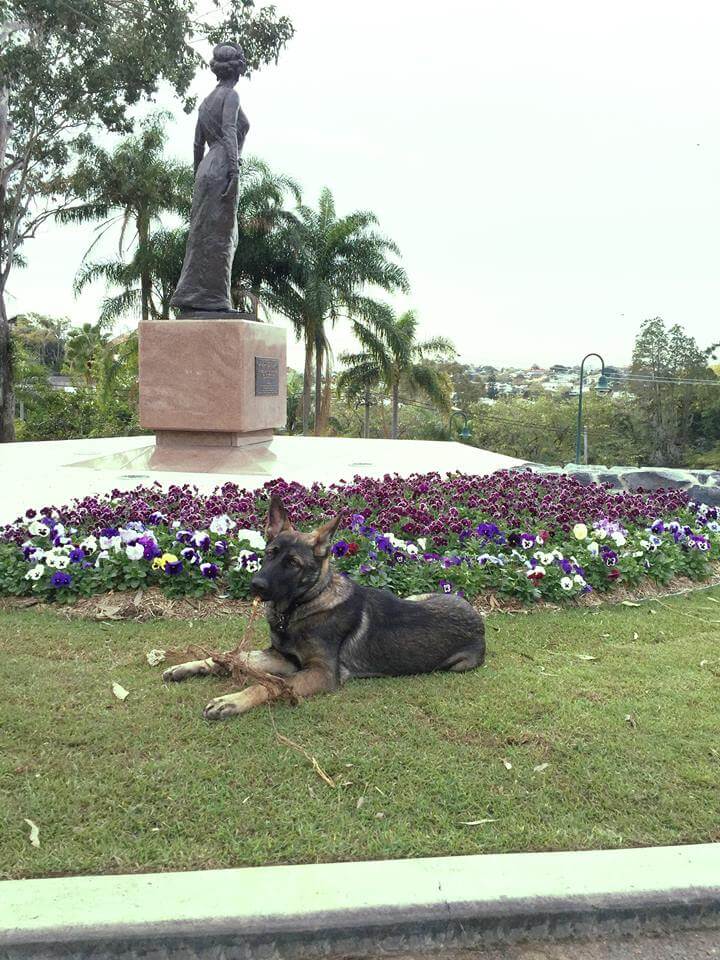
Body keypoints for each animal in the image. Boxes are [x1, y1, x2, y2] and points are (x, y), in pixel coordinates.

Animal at [166, 498, 486, 716]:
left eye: (293, 563)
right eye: (270, 553)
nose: (255, 585)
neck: (300, 607)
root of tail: (479, 621)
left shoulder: (320, 672)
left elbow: (268, 684)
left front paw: (232, 701)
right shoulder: (282, 657)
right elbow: (230, 657)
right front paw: (188, 666)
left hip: (458, 664)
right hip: (419, 596)